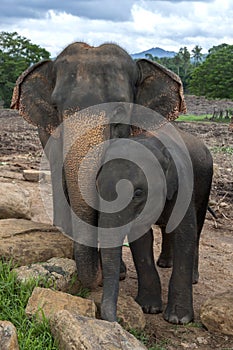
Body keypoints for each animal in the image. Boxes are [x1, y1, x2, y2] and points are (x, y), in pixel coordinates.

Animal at [96, 123, 213, 326]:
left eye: (138, 193)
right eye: (97, 187)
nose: (117, 320)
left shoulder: (183, 187)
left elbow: (185, 235)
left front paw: (178, 319)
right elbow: (141, 239)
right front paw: (148, 308)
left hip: (205, 185)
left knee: (197, 229)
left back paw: (192, 278)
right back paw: (165, 263)